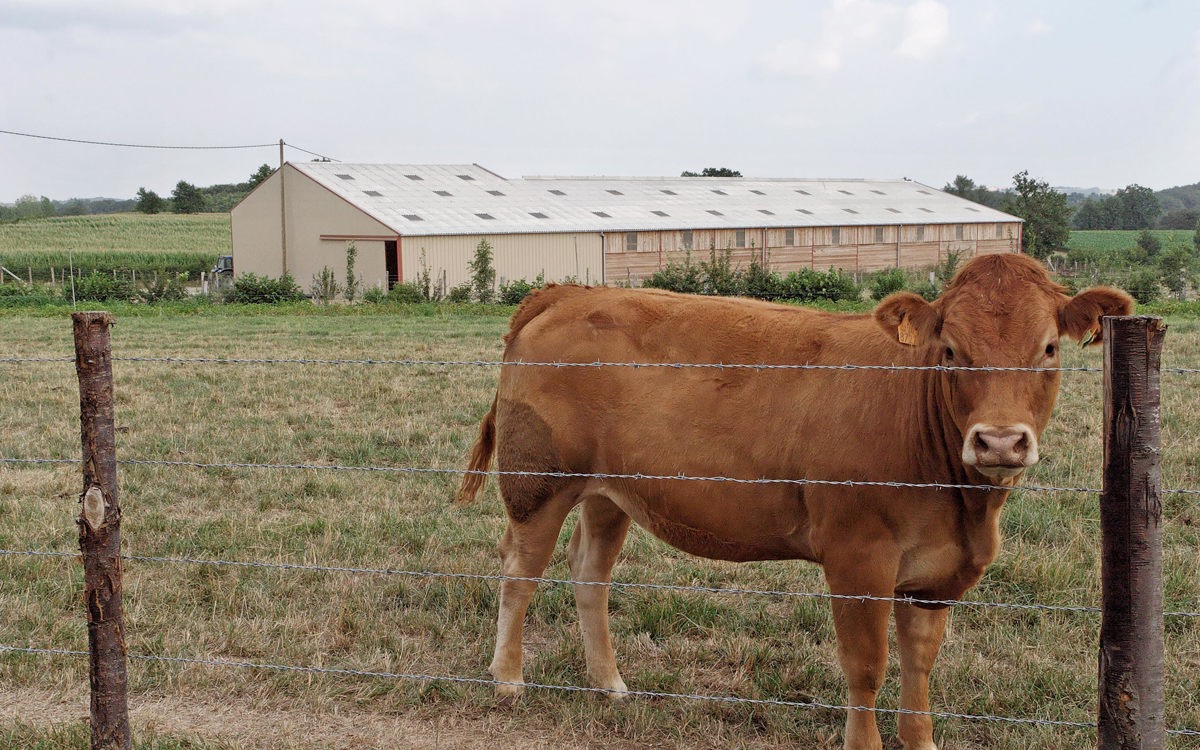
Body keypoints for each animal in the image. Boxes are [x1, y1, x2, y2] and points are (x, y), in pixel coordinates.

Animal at [454, 253, 1132, 750]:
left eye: (1049, 349)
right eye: (951, 351)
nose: (999, 441)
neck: (963, 505)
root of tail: (566, 293)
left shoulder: (938, 571)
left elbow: (920, 663)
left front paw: (921, 741)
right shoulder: (858, 556)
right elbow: (867, 665)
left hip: (610, 492)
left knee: (589, 572)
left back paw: (609, 684)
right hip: (538, 480)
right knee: (520, 569)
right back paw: (508, 680)